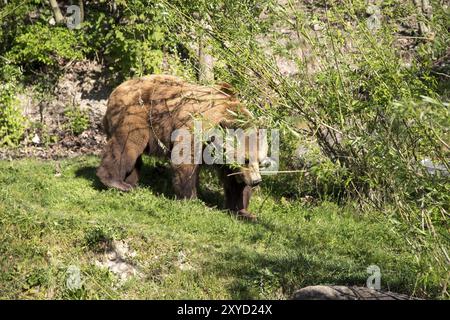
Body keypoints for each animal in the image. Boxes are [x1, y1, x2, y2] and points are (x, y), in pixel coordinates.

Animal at [97, 74, 268, 220]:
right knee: (126, 145)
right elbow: (186, 160)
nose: (256, 181)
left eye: (260, 161)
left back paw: (131, 182)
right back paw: (117, 182)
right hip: (136, 115)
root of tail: (116, 89)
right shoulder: (194, 128)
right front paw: (192, 199)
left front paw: (244, 211)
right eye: (246, 160)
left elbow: (233, 180)